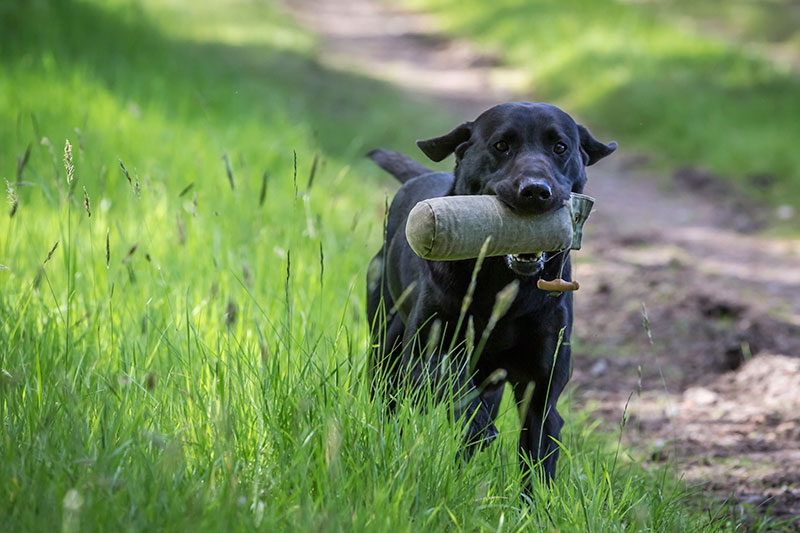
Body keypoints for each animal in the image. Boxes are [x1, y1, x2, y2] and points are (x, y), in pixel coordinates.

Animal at [366, 102, 616, 484]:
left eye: (560, 147)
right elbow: (452, 383)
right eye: (501, 146)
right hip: (386, 345)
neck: (505, 287)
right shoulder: (427, 354)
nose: (536, 191)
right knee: (393, 400)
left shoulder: (541, 392)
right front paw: (476, 422)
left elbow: (537, 464)